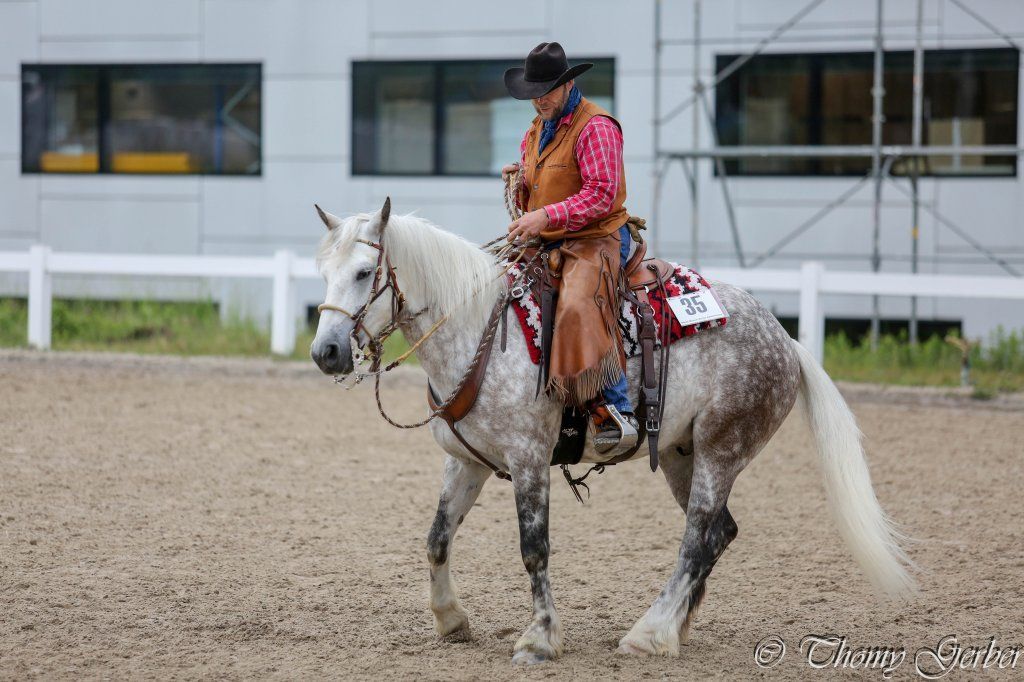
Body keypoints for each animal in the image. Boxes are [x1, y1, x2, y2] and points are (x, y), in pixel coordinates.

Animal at [308, 199, 915, 665]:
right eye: (323, 273)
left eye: (364, 273)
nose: (326, 352)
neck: (479, 328)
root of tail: (786, 340)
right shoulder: (468, 461)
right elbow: (436, 538)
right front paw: (451, 620)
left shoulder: (528, 460)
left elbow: (534, 549)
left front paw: (540, 639)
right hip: (681, 454)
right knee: (719, 534)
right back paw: (674, 627)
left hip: (722, 450)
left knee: (697, 538)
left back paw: (649, 634)